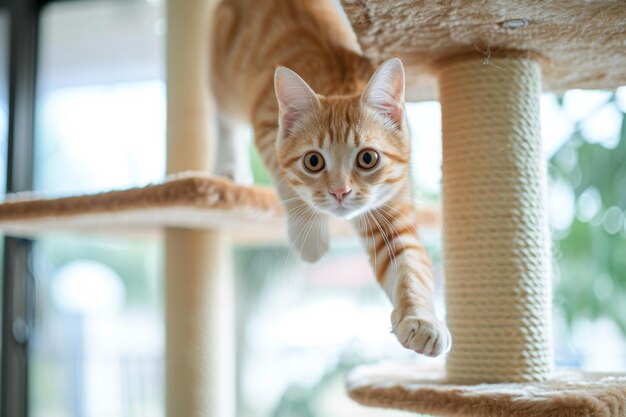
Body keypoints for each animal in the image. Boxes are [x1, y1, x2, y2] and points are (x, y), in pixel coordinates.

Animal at [211, 0, 448, 356]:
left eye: (367, 158)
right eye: (313, 161)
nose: (340, 192)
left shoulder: (392, 210)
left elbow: (411, 264)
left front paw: (422, 320)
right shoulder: (267, 130)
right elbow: (288, 182)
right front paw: (310, 238)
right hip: (225, 80)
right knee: (223, 116)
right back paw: (229, 166)